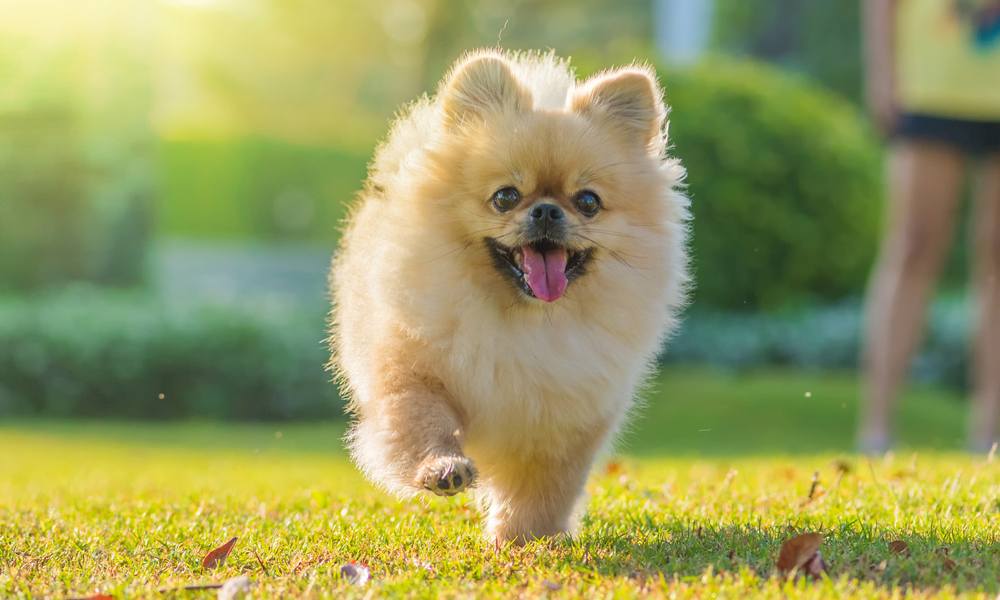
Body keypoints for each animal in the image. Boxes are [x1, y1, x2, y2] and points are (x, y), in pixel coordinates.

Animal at [328, 47, 688, 544]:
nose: (547, 210)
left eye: (588, 202)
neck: (522, 321)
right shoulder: (411, 373)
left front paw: (524, 536)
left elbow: (545, 485)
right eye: (505, 197)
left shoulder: (564, 418)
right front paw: (443, 468)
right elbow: (421, 423)